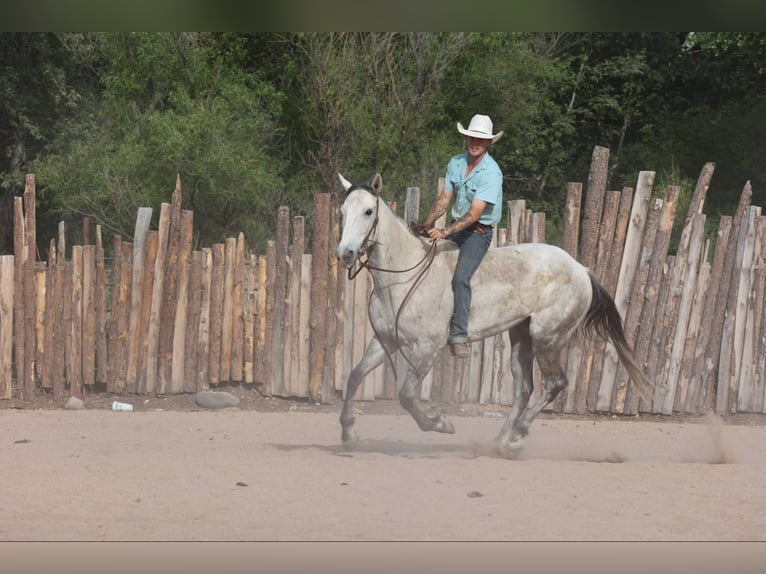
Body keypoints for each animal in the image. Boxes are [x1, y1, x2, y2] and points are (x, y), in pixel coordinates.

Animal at [335, 172, 652, 457]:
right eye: (343, 211)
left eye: (368, 211)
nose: (345, 254)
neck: (402, 276)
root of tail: (581, 269)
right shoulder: (385, 341)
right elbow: (354, 376)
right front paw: (348, 434)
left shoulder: (428, 347)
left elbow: (406, 395)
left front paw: (442, 424)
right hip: (521, 337)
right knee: (524, 389)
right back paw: (501, 441)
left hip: (548, 337)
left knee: (555, 383)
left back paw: (517, 436)